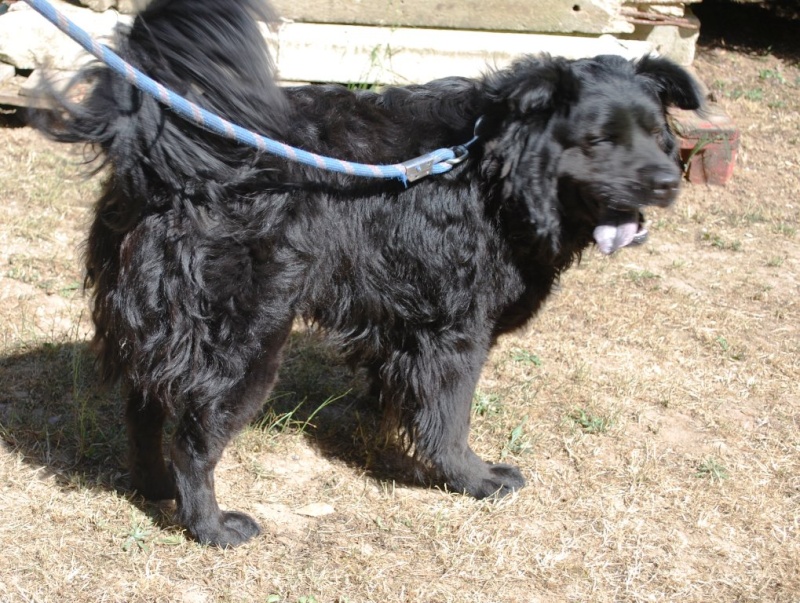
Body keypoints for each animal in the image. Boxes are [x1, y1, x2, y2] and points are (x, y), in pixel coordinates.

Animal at [37, 0, 700, 548]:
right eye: (598, 141)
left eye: (657, 135)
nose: (667, 183)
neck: (495, 169)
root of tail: (167, 158)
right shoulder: (455, 331)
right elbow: (448, 416)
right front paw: (474, 479)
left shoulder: (404, 322)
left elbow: (399, 398)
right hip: (245, 338)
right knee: (193, 440)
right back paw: (212, 527)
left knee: (144, 408)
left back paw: (153, 490)